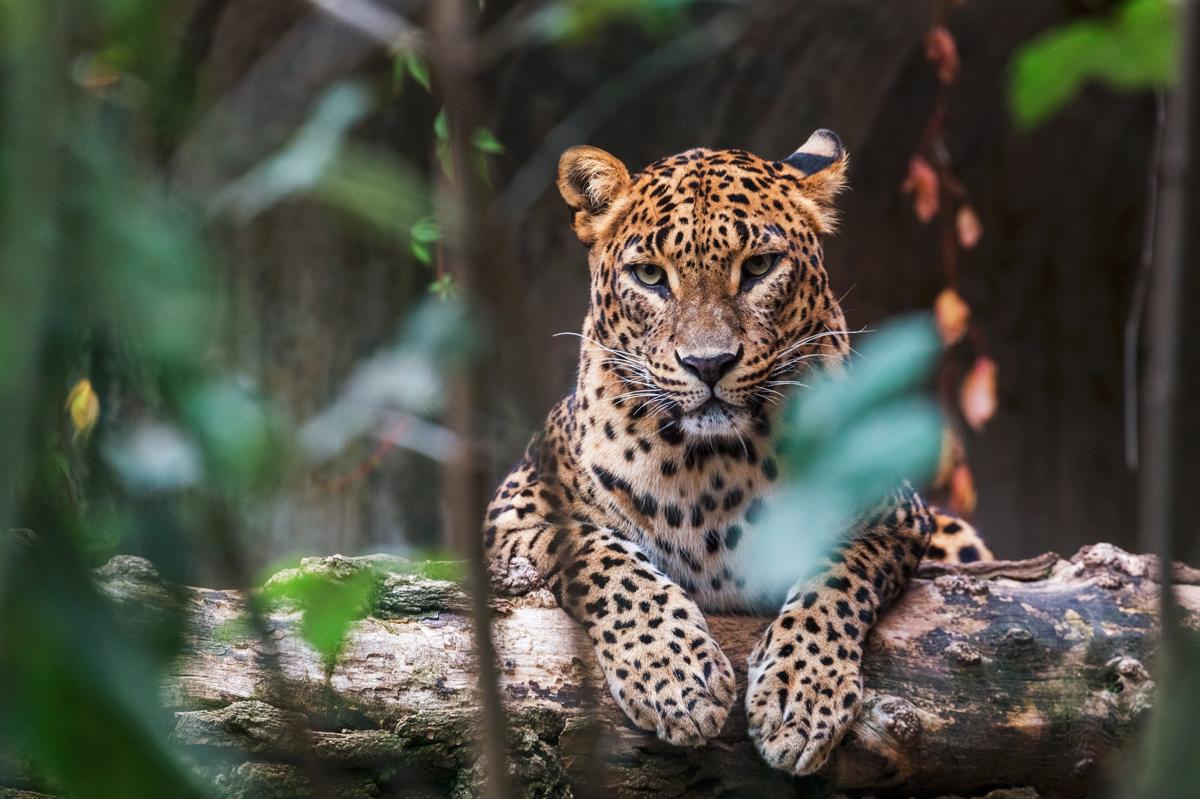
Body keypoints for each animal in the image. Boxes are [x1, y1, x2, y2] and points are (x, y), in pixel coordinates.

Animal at [484, 129, 992, 777]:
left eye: (758, 267)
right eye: (649, 275)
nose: (709, 364)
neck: (712, 466)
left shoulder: (895, 515)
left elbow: (835, 576)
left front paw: (801, 697)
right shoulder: (516, 510)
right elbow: (607, 560)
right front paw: (676, 678)